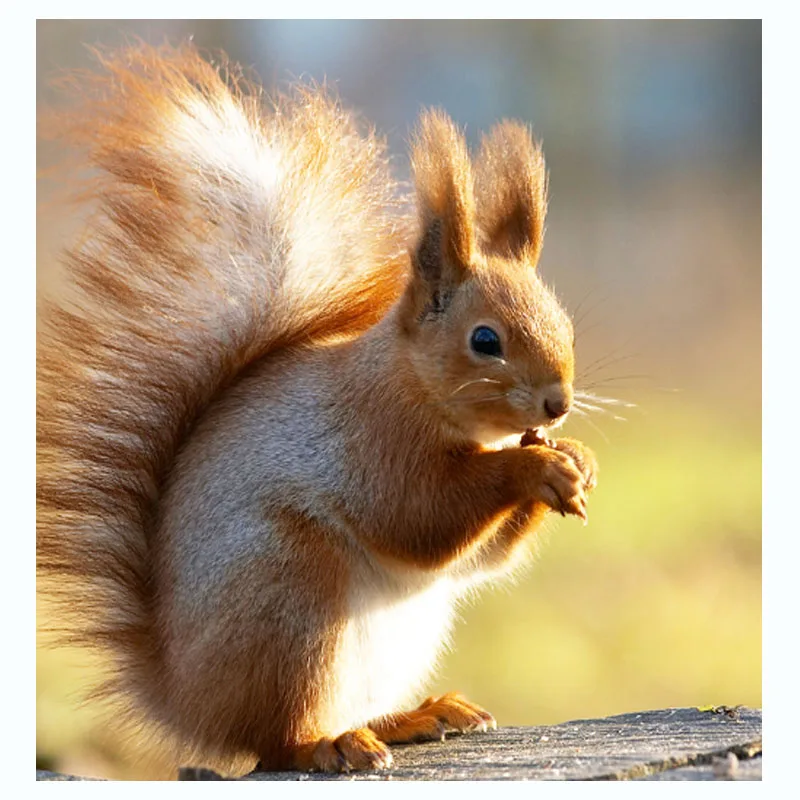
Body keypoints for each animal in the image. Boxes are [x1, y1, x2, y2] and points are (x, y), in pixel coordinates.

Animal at [37, 43, 598, 775]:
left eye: (565, 323)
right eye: (485, 341)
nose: (557, 404)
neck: (408, 383)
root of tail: (186, 699)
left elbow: (481, 560)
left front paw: (577, 460)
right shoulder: (372, 440)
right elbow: (420, 517)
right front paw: (535, 470)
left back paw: (415, 716)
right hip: (291, 593)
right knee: (275, 739)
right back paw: (329, 743)